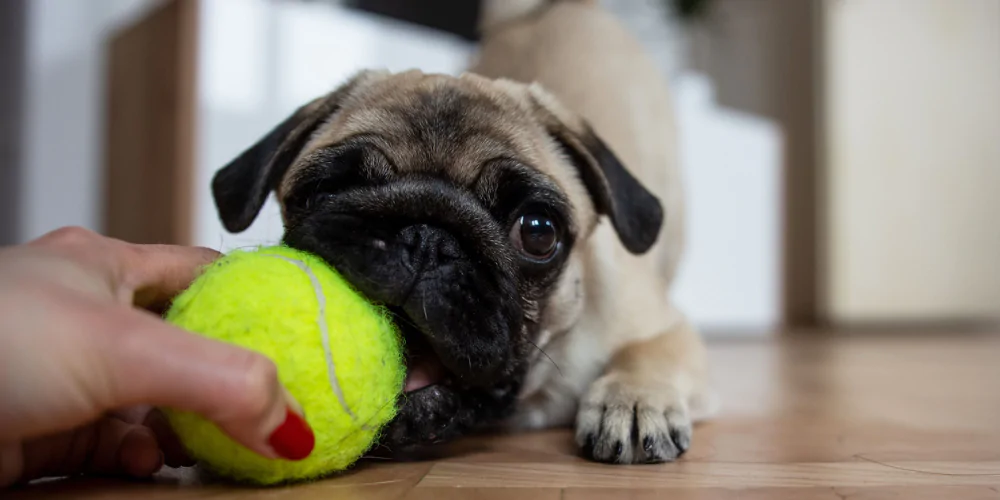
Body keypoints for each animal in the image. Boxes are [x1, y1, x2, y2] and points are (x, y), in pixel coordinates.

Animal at [211, 0, 716, 464]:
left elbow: (651, 351)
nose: (425, 238)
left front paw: (633, 399)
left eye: (538, 232)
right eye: (324, 191)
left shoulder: (663, 327)